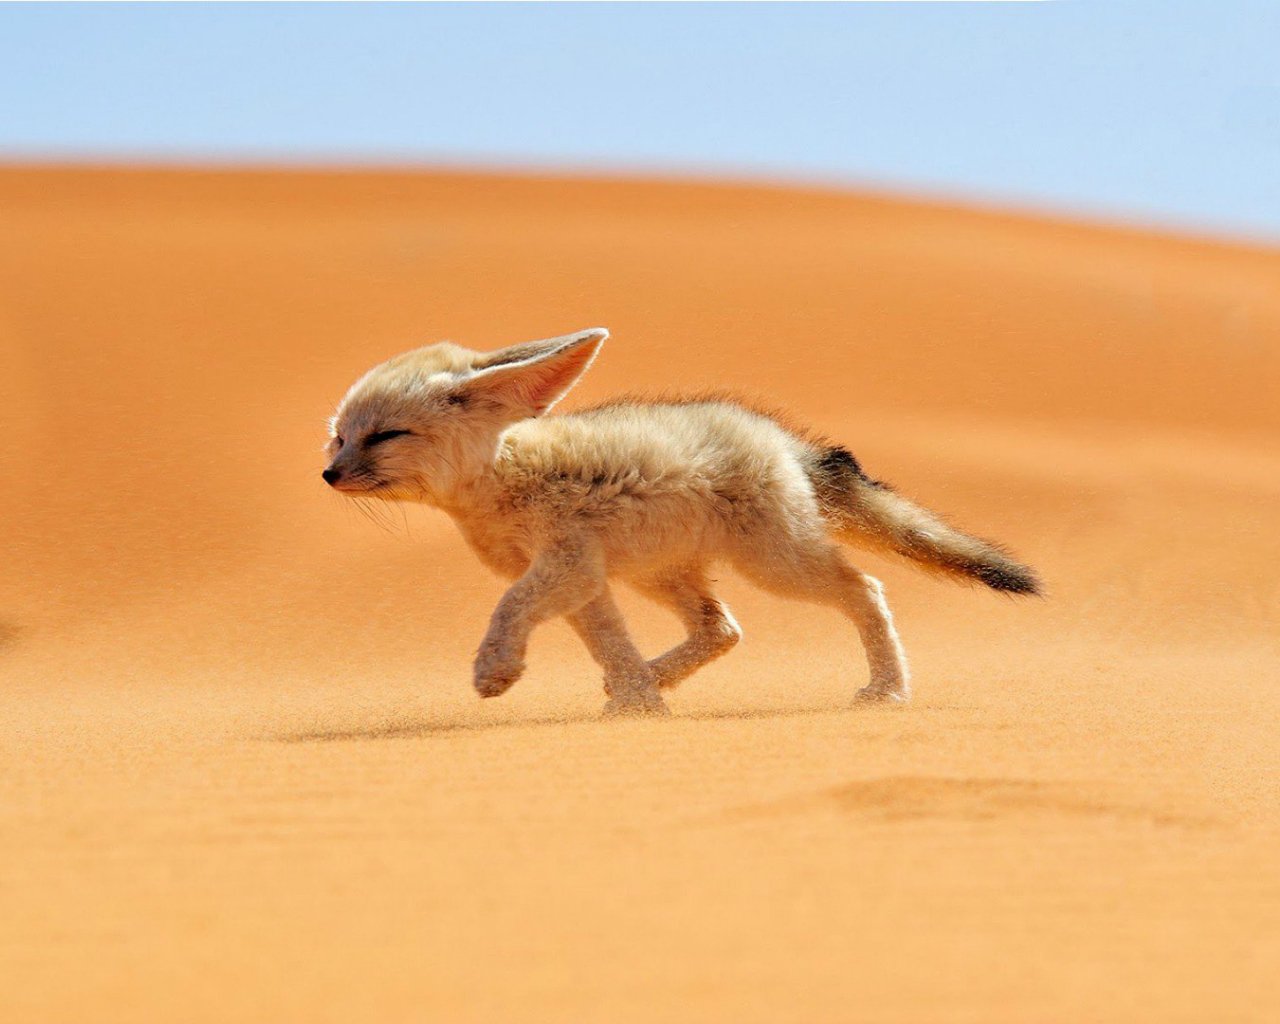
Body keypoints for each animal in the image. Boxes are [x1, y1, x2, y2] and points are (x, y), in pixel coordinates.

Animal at [323, 327, 1038, 716]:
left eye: (385, 436)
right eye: (339, 437)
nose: (329, 475)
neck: (502, 477)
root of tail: (779, 437)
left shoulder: (564, 565)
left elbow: (509, 608)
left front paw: (495, 670)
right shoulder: (584, 579)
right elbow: (608, 643)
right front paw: (639, 703)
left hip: (776, 566)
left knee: (865, 588)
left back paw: (888, 689)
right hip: (660, 574)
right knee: (722, 629)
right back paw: (652, 678)